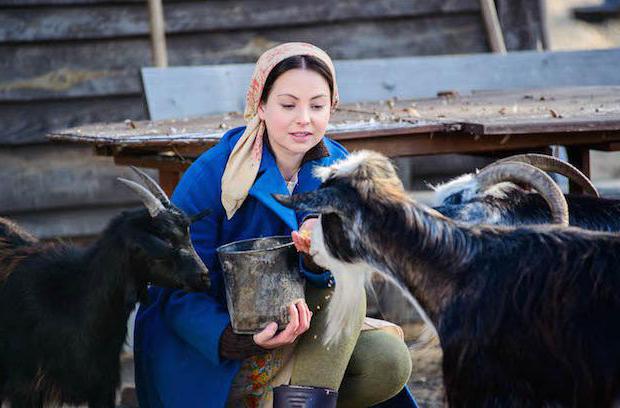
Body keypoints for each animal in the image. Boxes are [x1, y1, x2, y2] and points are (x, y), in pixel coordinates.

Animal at [0, 167, 211, 408]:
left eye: (187, 234)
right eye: (164, 239)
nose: (204, 277)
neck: (70, 298)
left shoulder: (103, 384)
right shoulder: (25, 385)